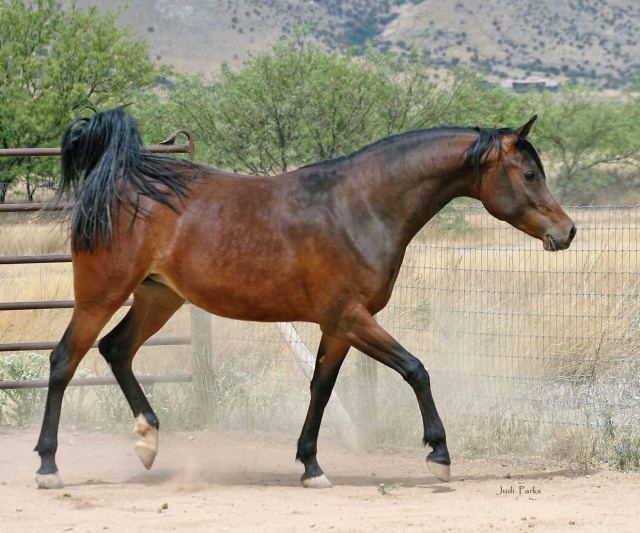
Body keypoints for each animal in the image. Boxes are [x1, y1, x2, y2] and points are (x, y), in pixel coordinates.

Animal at [33, 108, 576, 486]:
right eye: (530, 174)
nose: (567, 231)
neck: (359, 206)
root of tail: (119, 182)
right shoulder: (351, 317)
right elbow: (415, 369)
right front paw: (438, 454)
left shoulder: (337, 326)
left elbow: (321, 387)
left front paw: (311, 465)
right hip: (100, 296)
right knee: (64, 360)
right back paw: (48, 467)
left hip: (158, 297)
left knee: (116, 349)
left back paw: (148, 441)